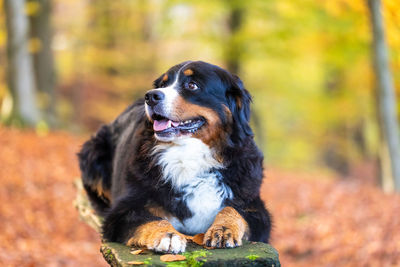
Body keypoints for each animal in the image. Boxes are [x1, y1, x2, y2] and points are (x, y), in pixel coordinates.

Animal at [77, 61, 272, 255]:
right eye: (163, 84)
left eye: (192, 85)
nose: (151, 96)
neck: (188, 154)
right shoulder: (124, 210)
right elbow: (150, 219)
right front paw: (168, 235)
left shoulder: (255, 207)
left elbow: (234, 210)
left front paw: (223, 229)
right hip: (94, 152)